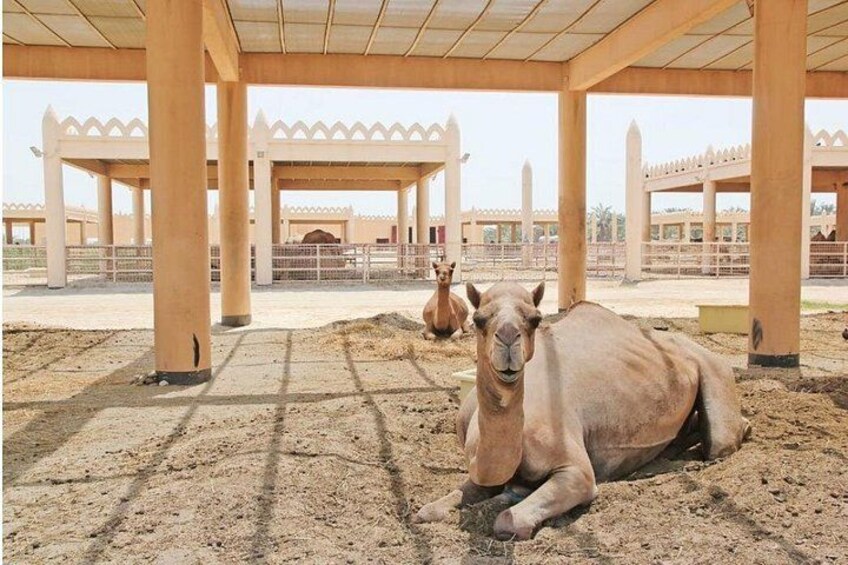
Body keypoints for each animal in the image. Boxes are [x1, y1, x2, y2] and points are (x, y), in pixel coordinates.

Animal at [416, 282, 749, 540]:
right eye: (479, 319)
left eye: (535, 319)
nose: (508, 340)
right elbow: (429, 510)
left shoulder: (576, 472)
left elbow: (508, 519)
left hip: (711, 365)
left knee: (722, 440)